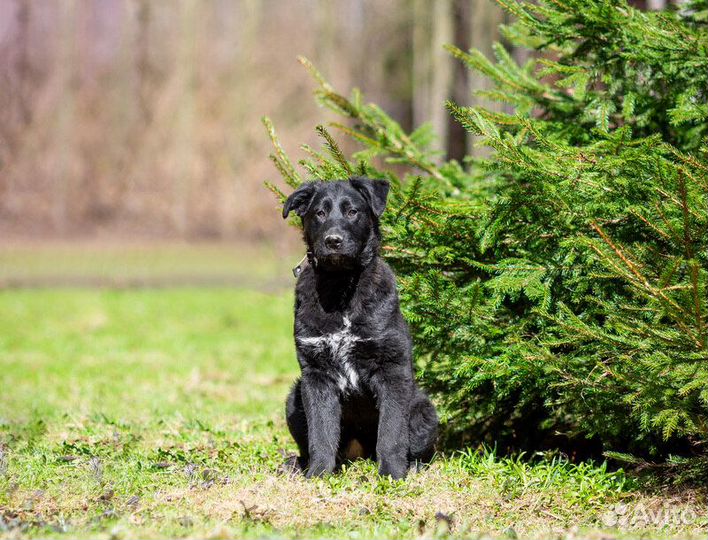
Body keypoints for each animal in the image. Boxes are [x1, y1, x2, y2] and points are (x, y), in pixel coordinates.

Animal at [282, 175, 436, 478]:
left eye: (353, 211)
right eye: (319, 213)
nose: (333, 240)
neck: (341, 288)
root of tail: (360, 455)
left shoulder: (391, 370)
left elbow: (391, 433)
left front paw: (391, 474)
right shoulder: (316, 375)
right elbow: (321, 433)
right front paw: (318, 474)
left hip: (424, 409)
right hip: (294, 398)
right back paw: (298, 464)